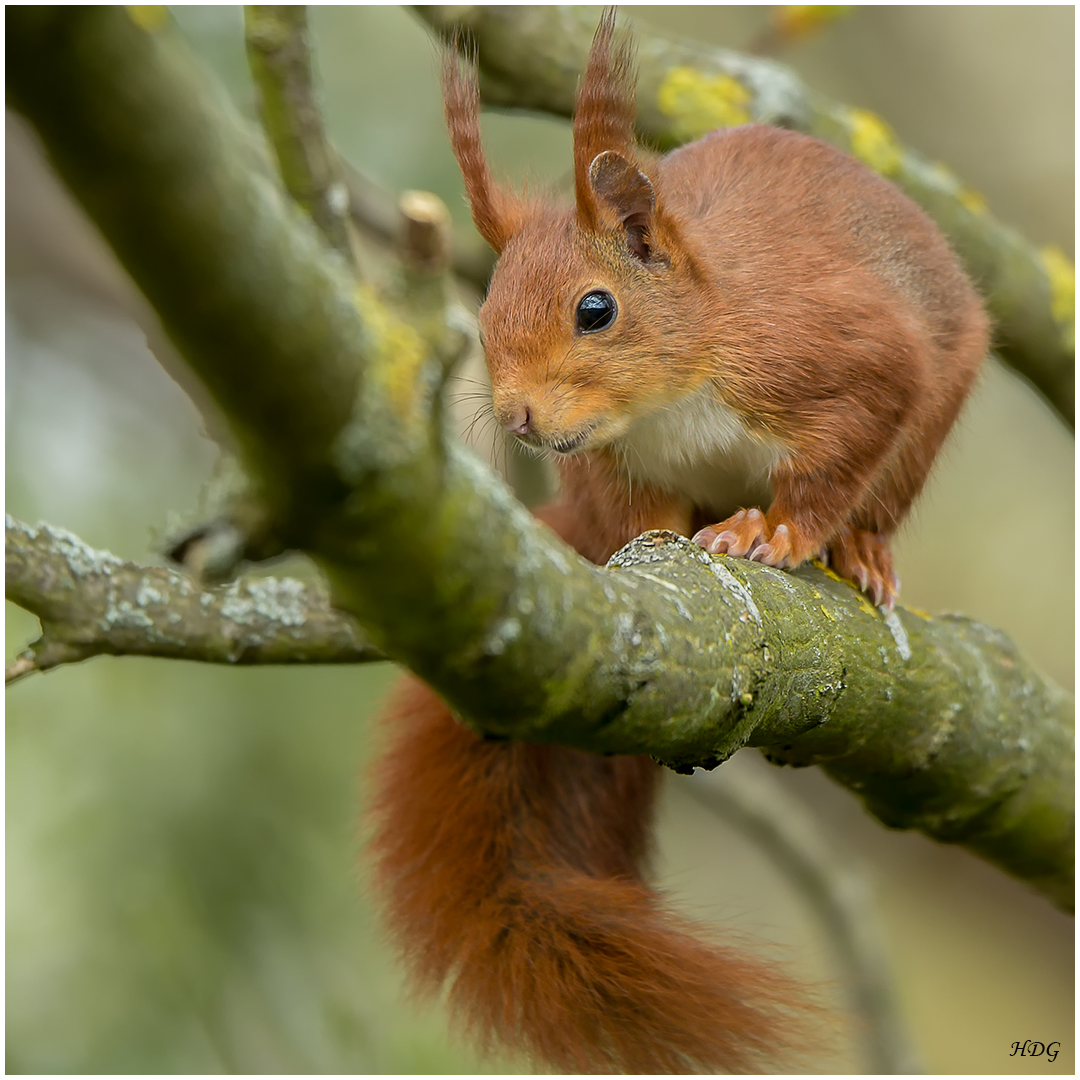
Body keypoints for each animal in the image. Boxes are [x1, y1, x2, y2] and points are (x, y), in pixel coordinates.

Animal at [369, 12, 989, 1075]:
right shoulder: (616, 464)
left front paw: (783, 531)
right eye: (484, 313)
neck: (682, 376)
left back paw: (861, 552)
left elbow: (835, 460)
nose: (519, 419)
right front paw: (669, 538)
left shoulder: (847, 358)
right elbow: (643, 516)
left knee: (880, 493)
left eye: (595, 309)